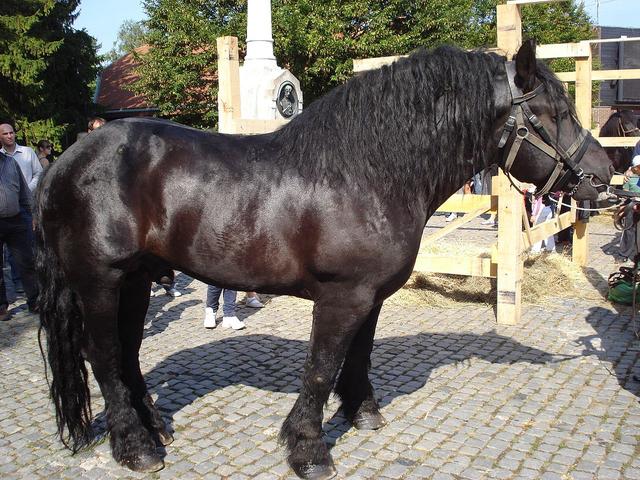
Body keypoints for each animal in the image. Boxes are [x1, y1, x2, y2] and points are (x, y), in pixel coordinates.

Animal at [35, 40, 613, 479]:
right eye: (555, 114)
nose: (604, 175)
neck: (367, 172)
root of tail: (66, 161)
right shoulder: (341, 297)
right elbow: (321, 368)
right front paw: (308, 448)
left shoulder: (370, 297)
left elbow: (357, 358)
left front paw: (363, 413)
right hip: (101, 282)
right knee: (104, 354)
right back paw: (136, 446)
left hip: (136, 279)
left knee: (127, 354)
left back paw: (155, 426)